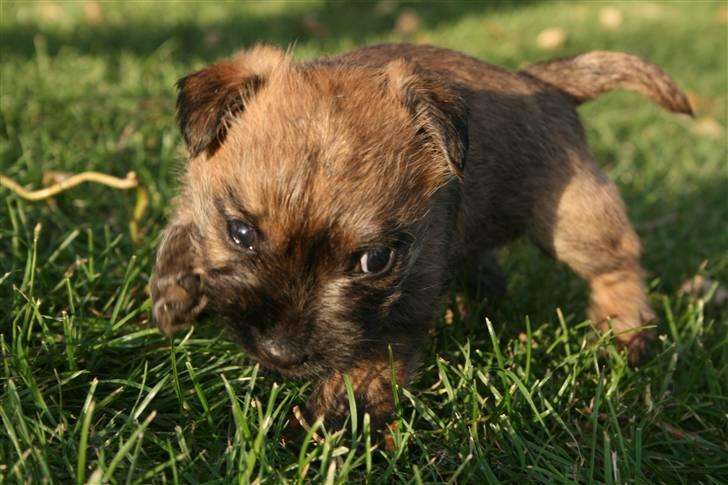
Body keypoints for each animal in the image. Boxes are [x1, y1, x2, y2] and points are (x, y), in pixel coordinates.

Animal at [151, 44, 692, 432]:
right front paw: (177, 285)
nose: (281, 353)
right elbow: (185, 221)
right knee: (487, 269)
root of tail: (539, 82)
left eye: (374, 261)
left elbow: (369, 360)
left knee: (618, 264)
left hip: (575, 221)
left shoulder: (403, 297)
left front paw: (334, 426)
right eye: (240, 233)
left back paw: (625, 335)